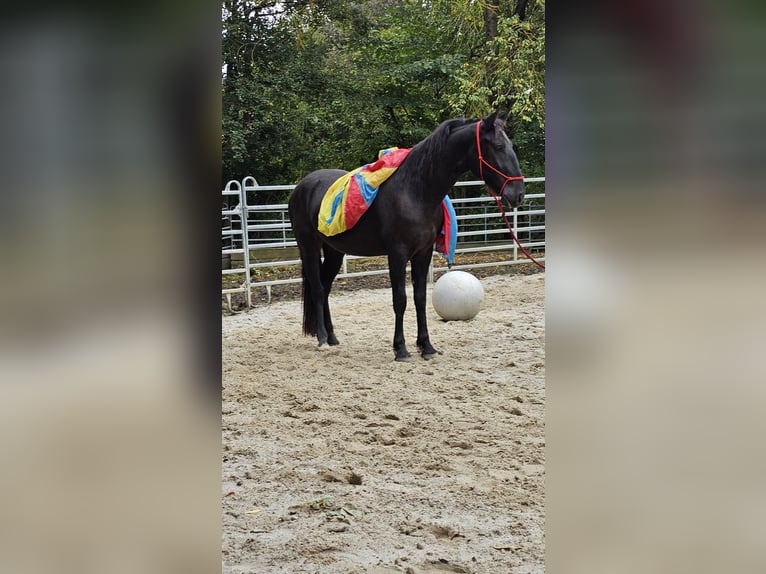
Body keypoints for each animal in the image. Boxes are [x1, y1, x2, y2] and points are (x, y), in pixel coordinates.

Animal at [290, 109, 528, 360]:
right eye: (499, 146)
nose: (518, 194)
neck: (416, 190)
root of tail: (302, 186)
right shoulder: (397, 254)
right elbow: (400, 300)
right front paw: (401, 348)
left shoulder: (422, 253)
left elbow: (420, 298)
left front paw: (426, 346)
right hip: (308, 247)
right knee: (317, 289)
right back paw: (322, 338)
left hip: (334, 252)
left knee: (325, 288)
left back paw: (333, 337)